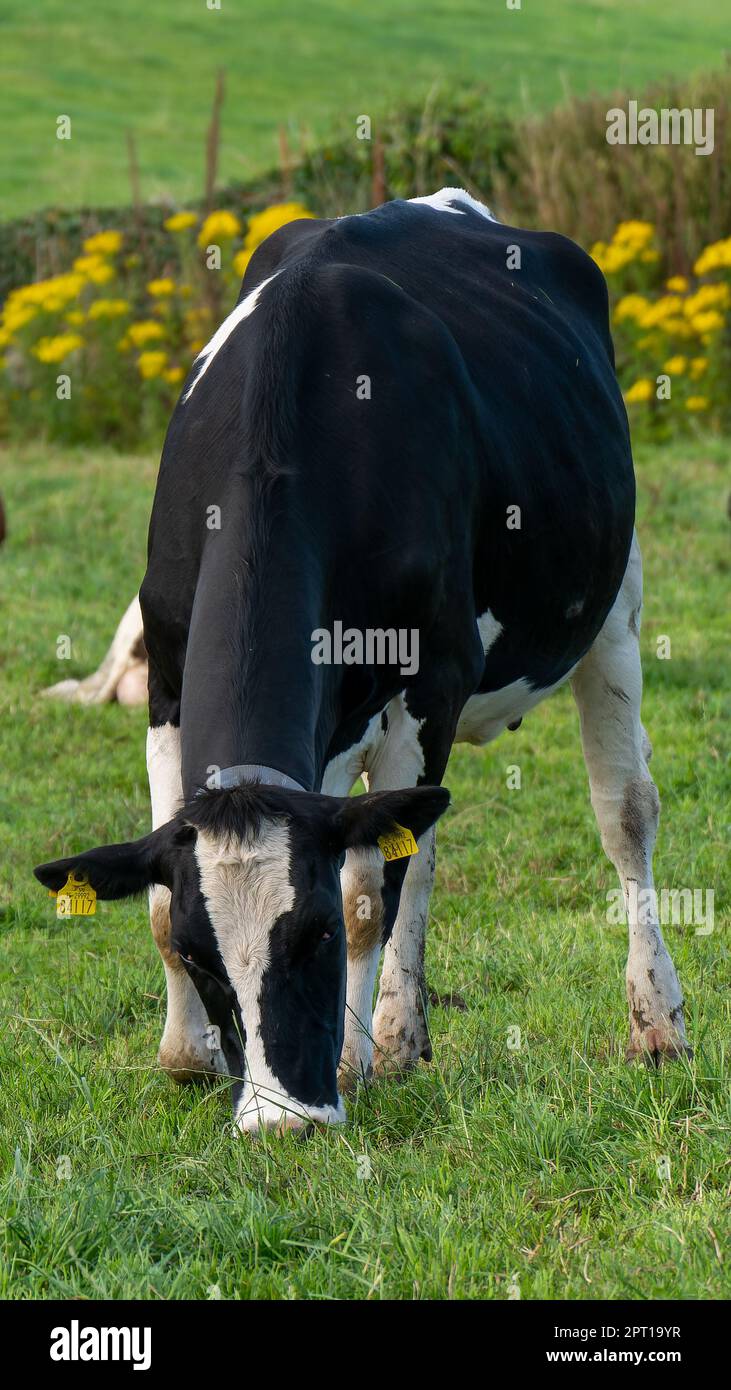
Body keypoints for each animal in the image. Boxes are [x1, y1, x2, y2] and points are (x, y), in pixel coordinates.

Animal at [35, 188, 691, 1135]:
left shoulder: (429, 680)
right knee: (415, 838)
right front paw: (188, 1056)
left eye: (307, 936)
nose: (278, 1124)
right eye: (203, 956)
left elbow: (361, 898)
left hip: (612, 606)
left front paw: (342, 1066)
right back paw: (401, 1036)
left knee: (622, 812)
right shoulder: (165, 676)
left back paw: (656, 1023)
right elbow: (161, 902)